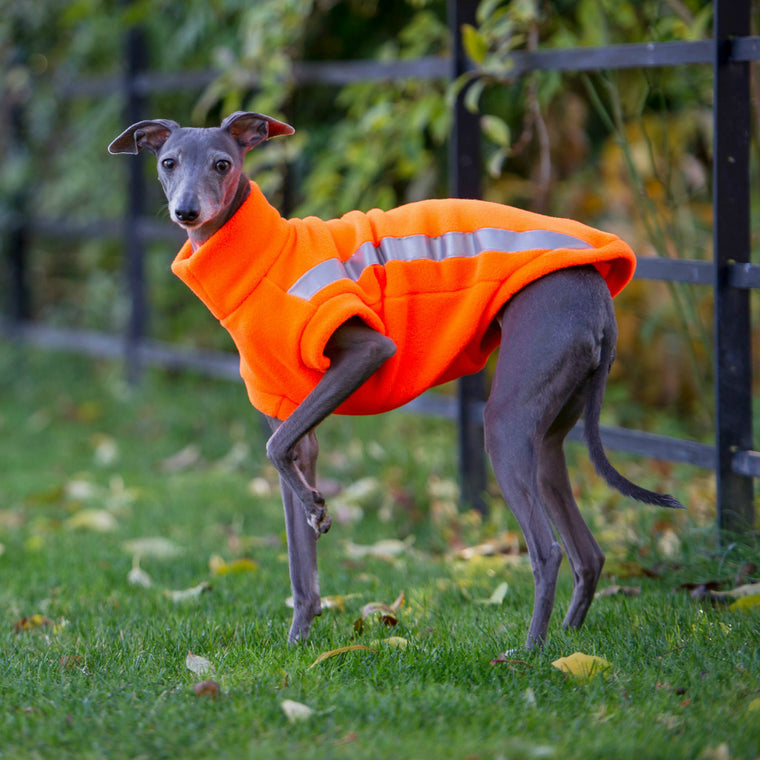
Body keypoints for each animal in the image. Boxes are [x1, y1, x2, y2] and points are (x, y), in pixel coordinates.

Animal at [108, 111, 684, 648]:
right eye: (168, 162)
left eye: (222, 165)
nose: (186, 211)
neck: (265, 258)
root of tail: (597, 293)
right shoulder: (296, 427)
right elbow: (299, 558)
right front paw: (297, 642)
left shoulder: (365, 351)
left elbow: (274, 449)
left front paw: (317, 508)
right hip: (547, 437)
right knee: (589, 553)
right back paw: (566, 642)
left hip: (506, 421)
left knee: (548, 552)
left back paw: (528, 653)